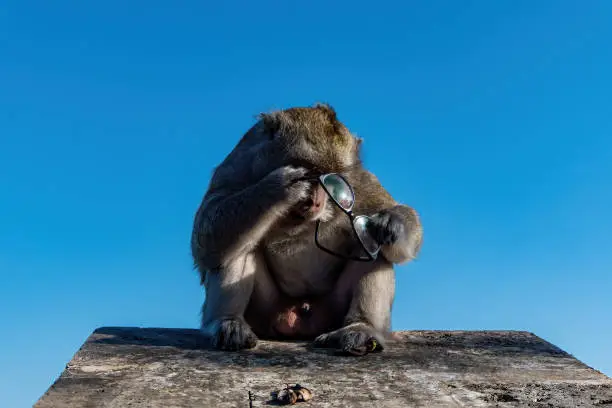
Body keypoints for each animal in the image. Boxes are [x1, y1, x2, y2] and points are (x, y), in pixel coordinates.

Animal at [190, 103, 420, 356]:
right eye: (309, 174)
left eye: (333, 182)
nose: (316, 202)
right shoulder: (237, 166)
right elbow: (206, 235)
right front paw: (276, 187)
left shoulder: (360, 182)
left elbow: (403, 233)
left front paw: (391, 221)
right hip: (266, 311)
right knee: (235, 246)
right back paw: (228, 323)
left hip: (332, 309)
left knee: (372, 246)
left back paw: (361, 327)